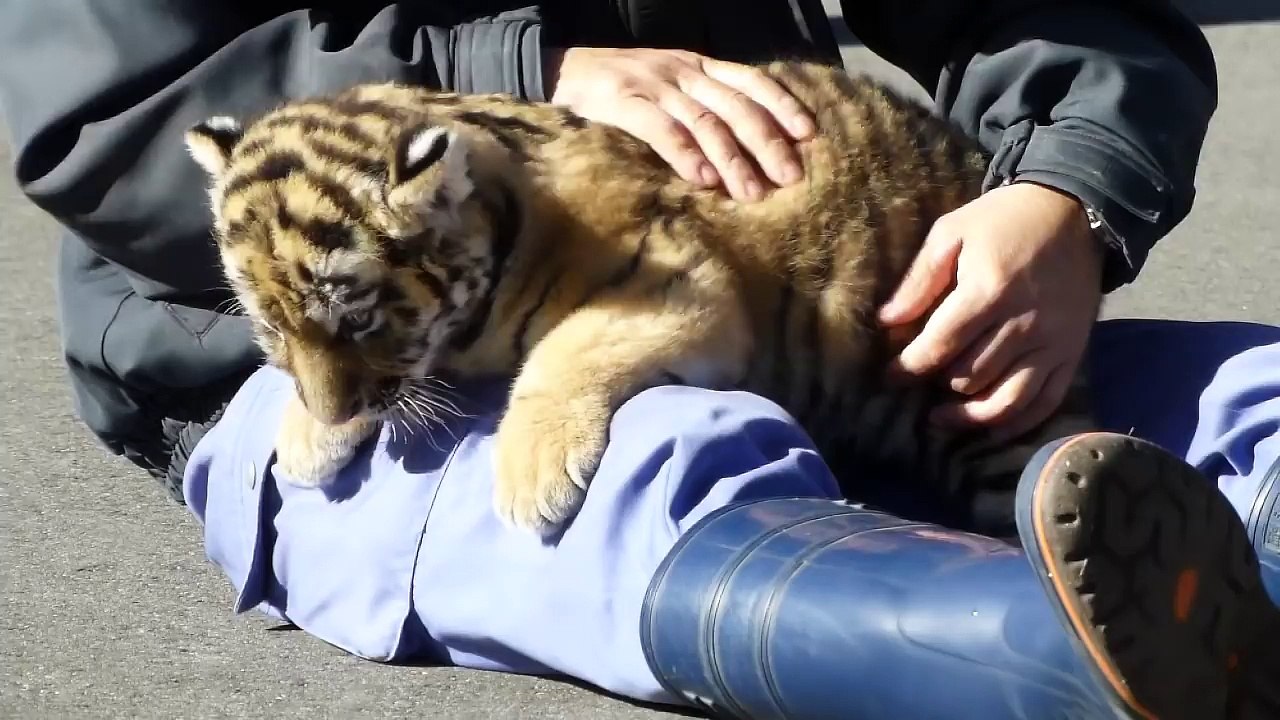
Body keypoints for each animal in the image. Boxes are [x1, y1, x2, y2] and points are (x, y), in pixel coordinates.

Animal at [183, 59, 1097, 538]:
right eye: (272, 330)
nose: (333, 414)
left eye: (359, 317)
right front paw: (307, 434)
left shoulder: (680, 284)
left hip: (985, 398)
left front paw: (532, 477)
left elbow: (564, 354)